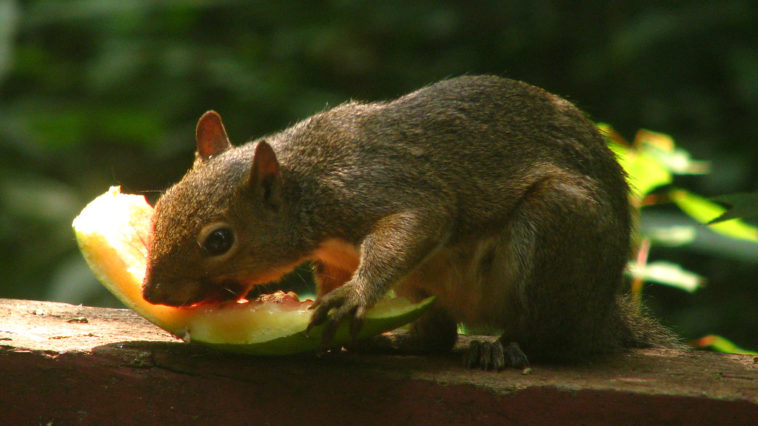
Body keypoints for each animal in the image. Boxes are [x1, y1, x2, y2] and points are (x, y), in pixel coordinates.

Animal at [142, 75, 678, 369]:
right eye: (160, 206)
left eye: (219, 240)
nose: (153, 292)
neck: (310, 182)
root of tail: (602, 315)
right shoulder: (331, 258)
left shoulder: (384, 188)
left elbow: (416, 224)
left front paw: (353, 297)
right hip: (428, 285)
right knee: (436, 339)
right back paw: (389, 343)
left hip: (558, 226)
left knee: (553, 341)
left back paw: (503, 349)